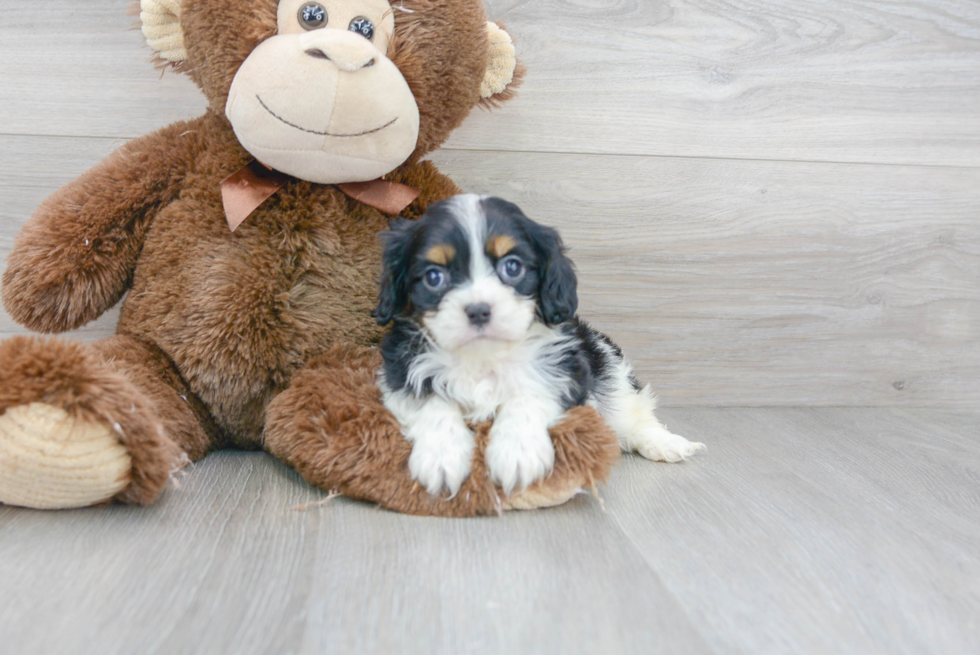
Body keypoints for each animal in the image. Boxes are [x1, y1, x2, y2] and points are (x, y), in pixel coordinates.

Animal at [376, 195, 704, 498]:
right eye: (434, 277)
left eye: (512, 267)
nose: (479, 310)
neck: (483, 358)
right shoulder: (400, 370)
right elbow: (432, 402)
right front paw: (441, 456)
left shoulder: (564, 371)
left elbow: (527, 395)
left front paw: (517, 454)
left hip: (609, 370)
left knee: (634, 414)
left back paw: (664, 443)